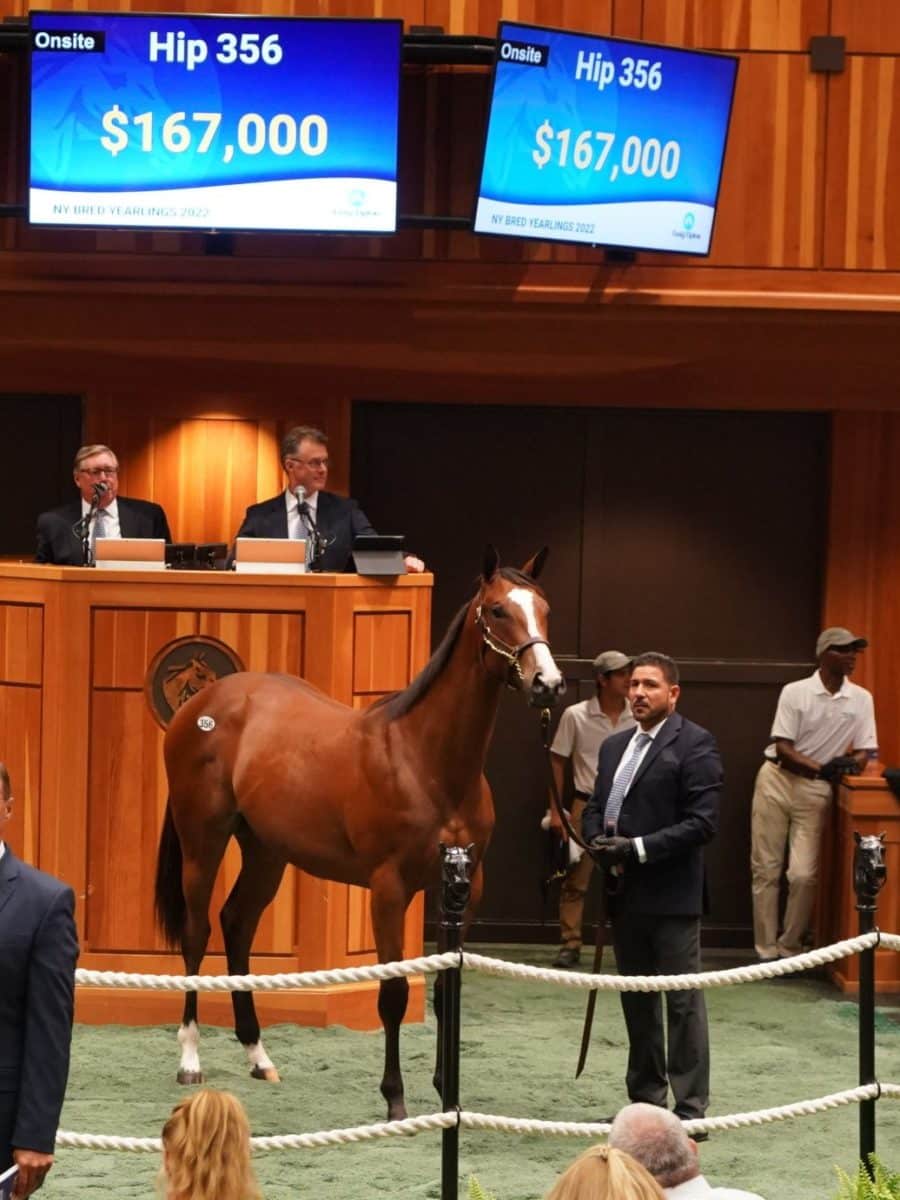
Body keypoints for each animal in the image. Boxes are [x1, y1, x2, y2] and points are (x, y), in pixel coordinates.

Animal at [154, 549, 564, 1118]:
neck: (426, 761)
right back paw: (190, 1058)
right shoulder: (389, 891)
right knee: (197, 935)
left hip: (266, 851)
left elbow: (446, 988)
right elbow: (392, 996)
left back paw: (259, 1055)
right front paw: (395, 1100)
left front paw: (445, 1092)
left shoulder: (465, 886)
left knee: (237, 924)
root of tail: (204, 703)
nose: (548, 682)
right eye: (499, 610)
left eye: (544, 608)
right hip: (203, 841)